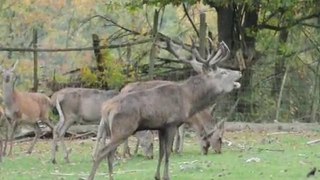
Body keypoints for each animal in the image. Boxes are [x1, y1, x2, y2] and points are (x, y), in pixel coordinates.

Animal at [89, 39, 241, 180]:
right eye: (223, 72)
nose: (239, 72)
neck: (189, 100)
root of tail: (106, 109)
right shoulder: (171, 123)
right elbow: (167, 152)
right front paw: (166, 176)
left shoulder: (161, 127)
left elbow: (161, 152)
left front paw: (157, 176)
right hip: (123, 128)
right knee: (102, 153)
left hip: (112, 130)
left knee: (109, 154)